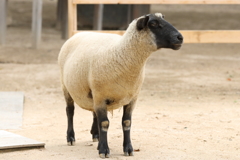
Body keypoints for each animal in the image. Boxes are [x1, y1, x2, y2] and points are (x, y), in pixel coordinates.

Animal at [57, 13, 182, 158]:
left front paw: (128, 148)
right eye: (154, 24)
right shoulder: (100, 96)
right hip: (66, 86)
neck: (121, 53)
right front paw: (104, 150)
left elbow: (126, 123)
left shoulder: (131, 98)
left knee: (94, 113)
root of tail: (78, 34)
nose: (180, 37)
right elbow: (104, 123)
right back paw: (71, 138)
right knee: (70, 111)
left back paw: (96, 135)